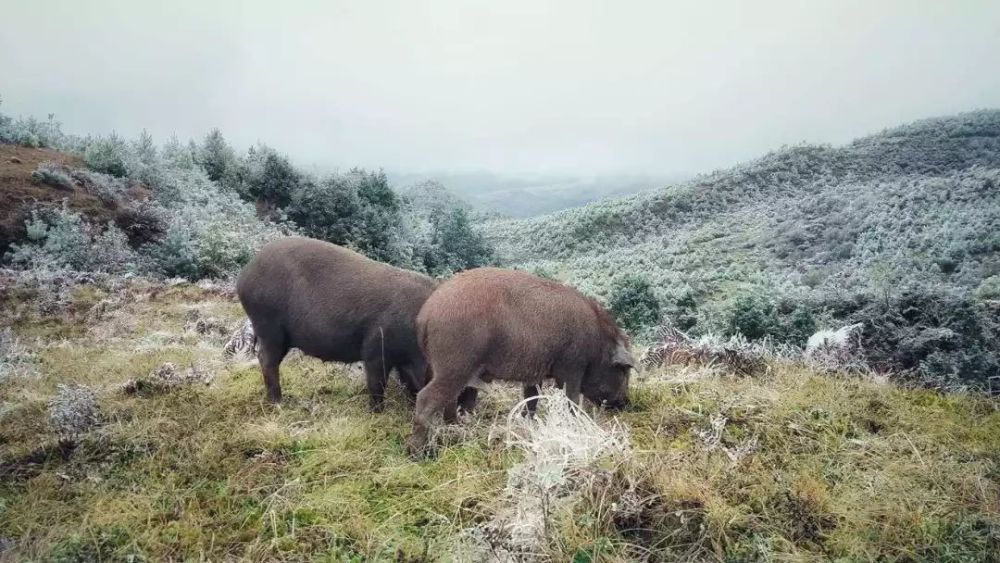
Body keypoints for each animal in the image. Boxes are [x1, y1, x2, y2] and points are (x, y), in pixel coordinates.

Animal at [238, 237, 438, 410]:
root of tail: (245, 273)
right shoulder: (375, 348)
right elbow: (377, 384)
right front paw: (377, 412)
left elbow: (408, 383)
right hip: (268, 323)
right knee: (266, 359)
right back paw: (278, 404)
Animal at [410, 266, 636, 456]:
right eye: (624, 371)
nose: (626, 403)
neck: (598, 344)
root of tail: (425, 315)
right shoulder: (571, 366)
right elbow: (570, 398)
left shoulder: (534, 372)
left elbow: (532, 398)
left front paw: (528, 423)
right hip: (454, 364)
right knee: (425, 398)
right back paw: (420, 453)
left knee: (451, 400)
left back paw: (458, 430)